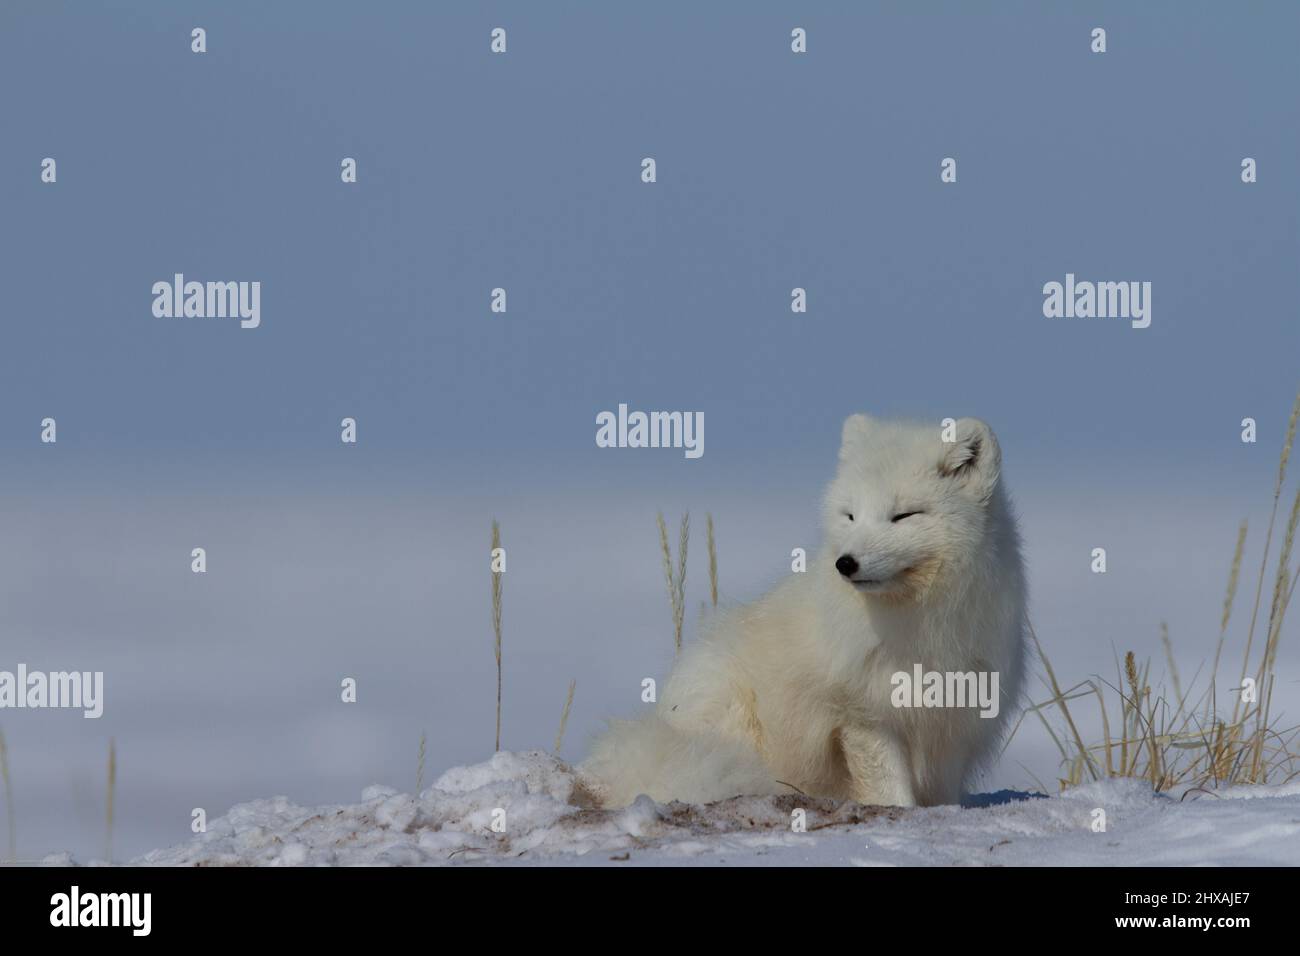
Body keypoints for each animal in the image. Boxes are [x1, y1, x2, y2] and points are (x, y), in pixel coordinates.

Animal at [580, 414, 1028, 808]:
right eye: (851, 515)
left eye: (903, 515)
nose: (845, 563)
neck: (918, 622)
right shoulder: (862, 715)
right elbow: (888, 786)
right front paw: (900, 811)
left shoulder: (954, 721)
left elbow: (941, 791)